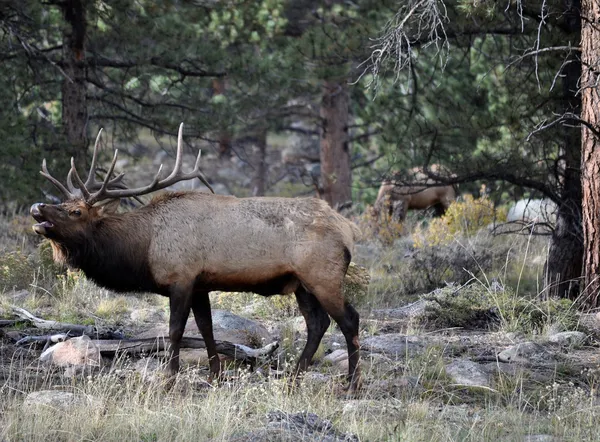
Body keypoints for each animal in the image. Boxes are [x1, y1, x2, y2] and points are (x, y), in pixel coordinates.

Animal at [29, 123, 360, 390]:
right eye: (63, 204)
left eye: (76, 211)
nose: (37, 206)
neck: (144, 249)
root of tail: (348, 230)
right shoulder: (201, 285)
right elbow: (206, 329)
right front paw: (215, 375)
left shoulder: (181, 278)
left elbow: (175, 331)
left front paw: (169, 379)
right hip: (301, 284)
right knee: (318, 324)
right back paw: (294, 378)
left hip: (323, 275)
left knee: (349, 320)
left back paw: (351, 384)